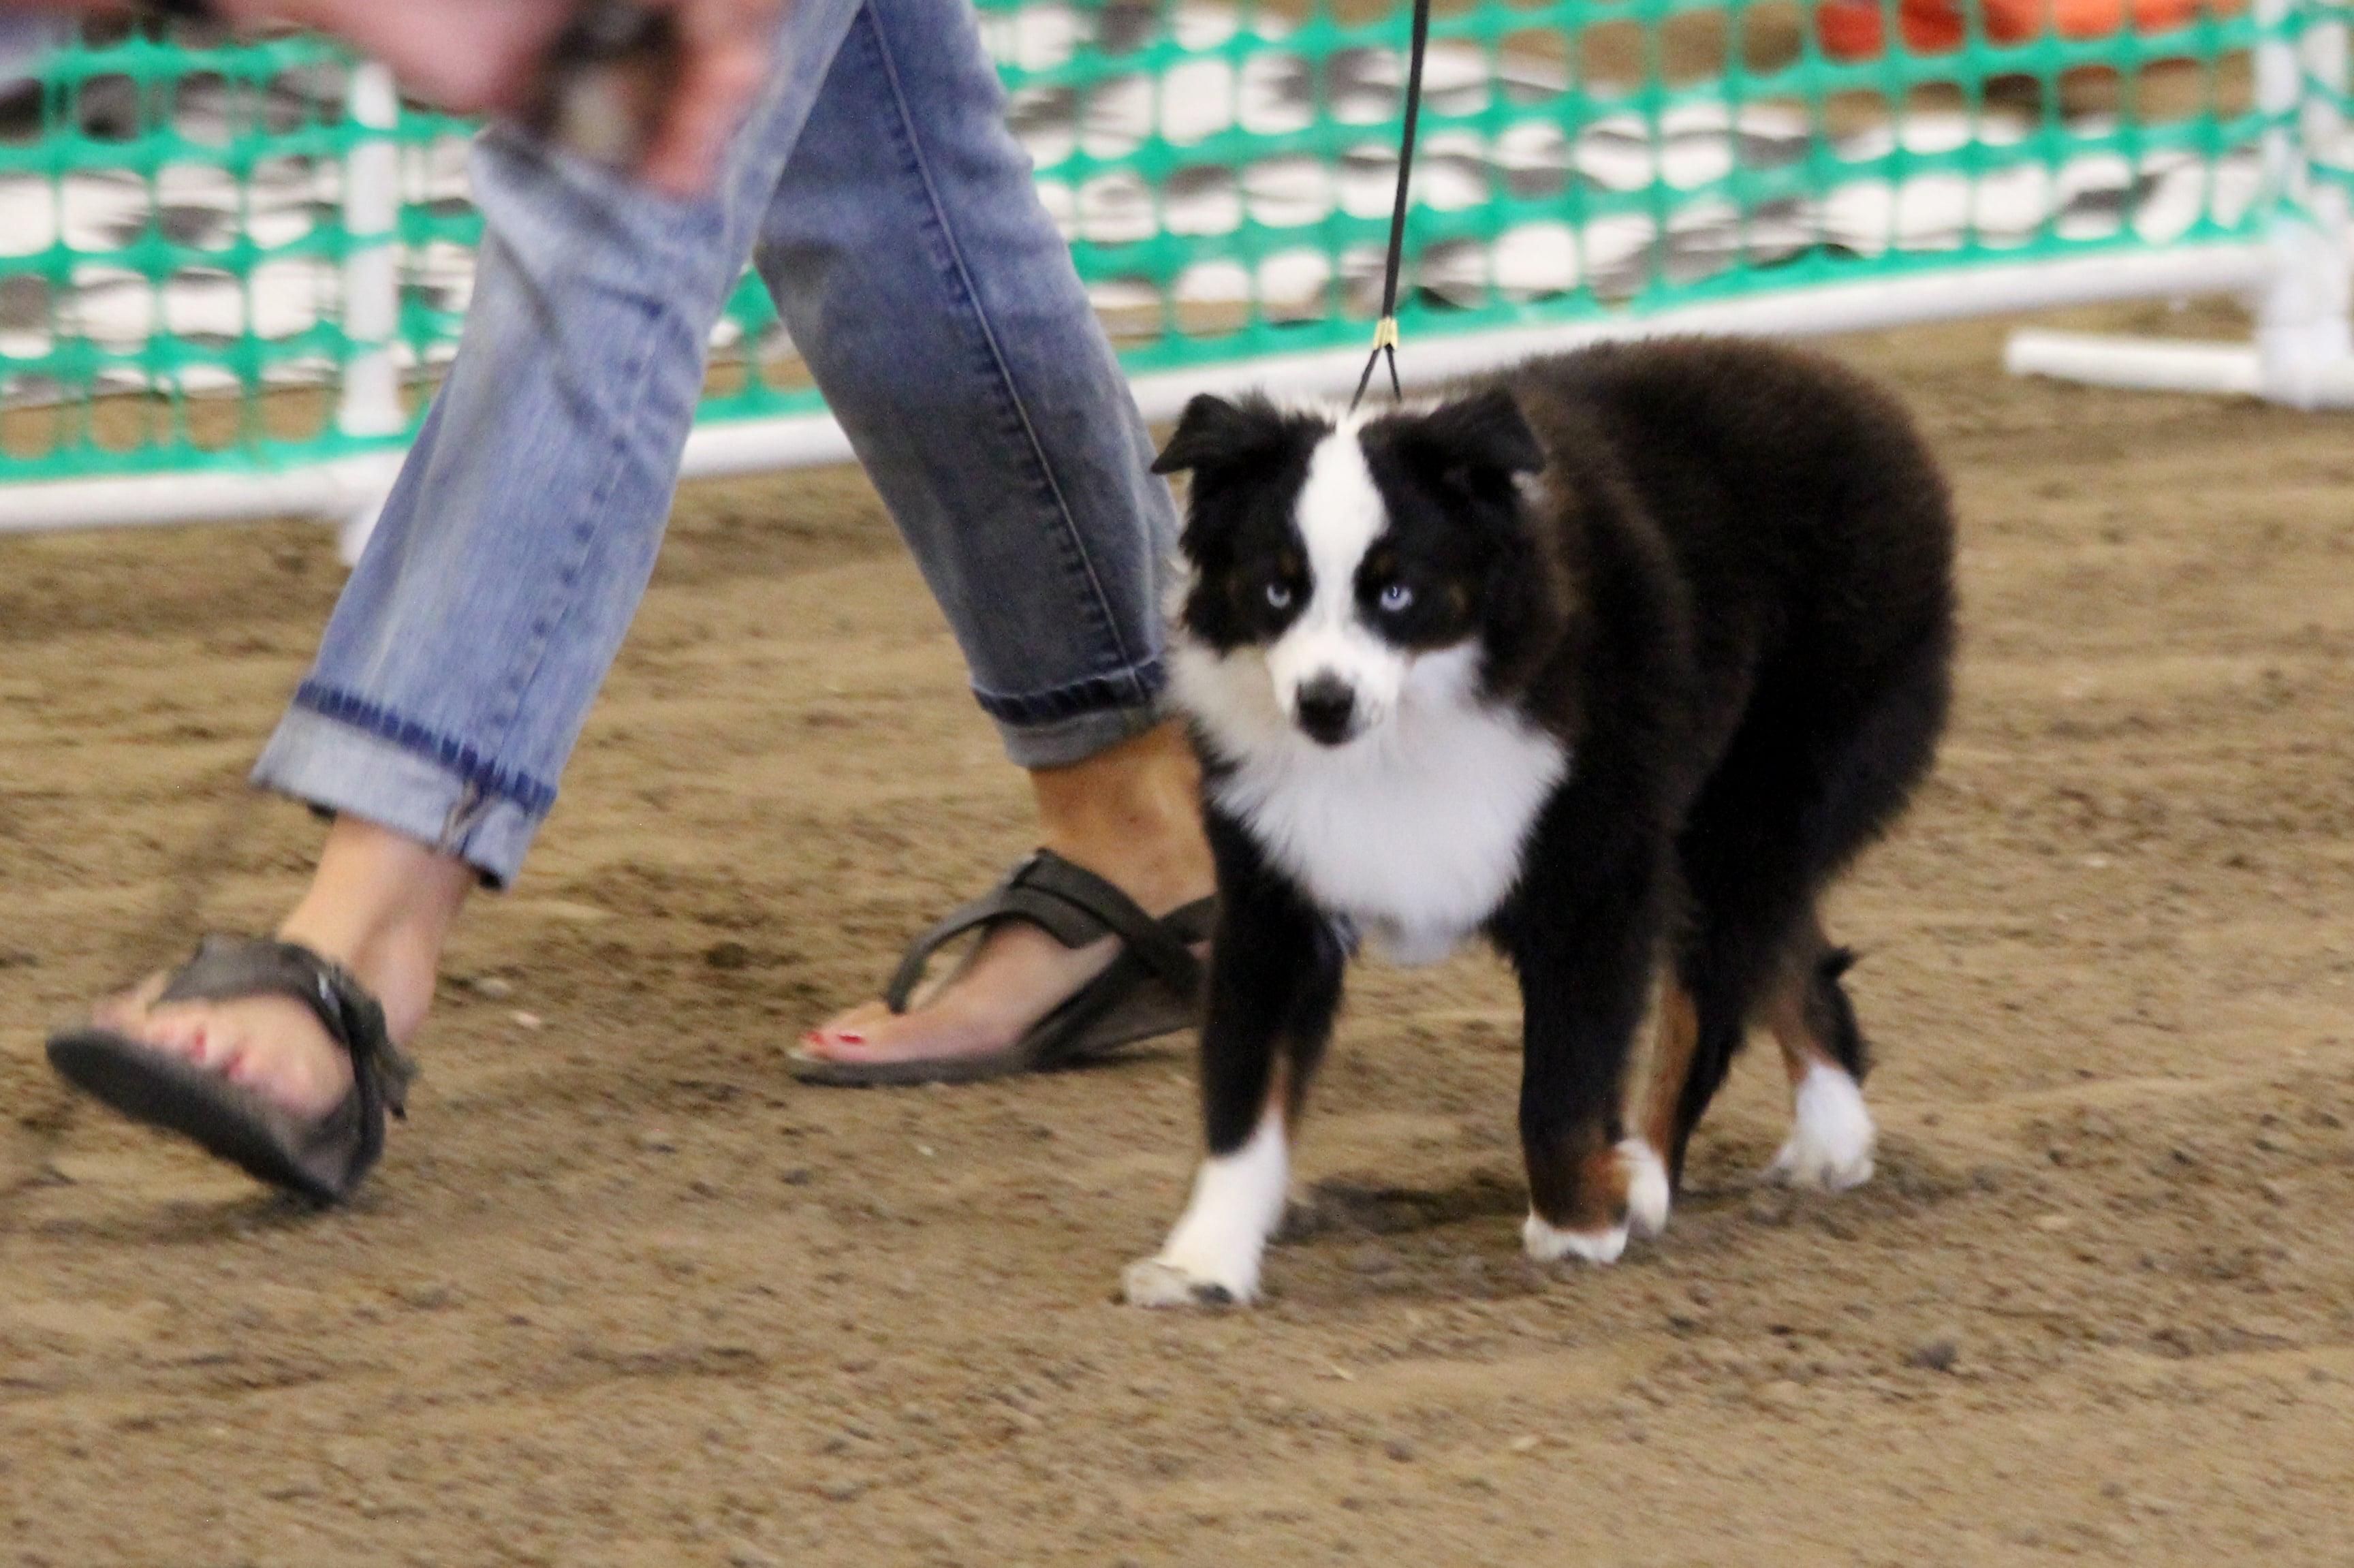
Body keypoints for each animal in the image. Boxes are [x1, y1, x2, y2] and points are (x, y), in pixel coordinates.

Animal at [1123, 337, 1955, 1306]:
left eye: (1397, 592)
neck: (1411, 721)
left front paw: (1579, 1226)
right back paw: (1832, 1135)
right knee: (1782, 949)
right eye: (1276, 590)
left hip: (1757, 802)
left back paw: (1651, 1174)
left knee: (1710, 994)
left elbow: (1562, 1085)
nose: (1325, 704)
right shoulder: (1276, 893)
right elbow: (1243, 1098)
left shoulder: (1594, 878)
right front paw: (1202, 1262)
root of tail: (1863, 398)